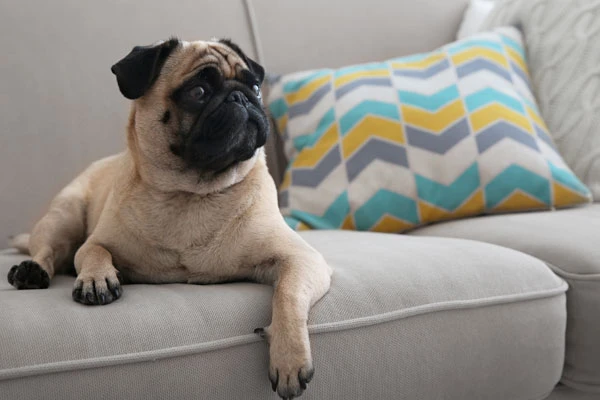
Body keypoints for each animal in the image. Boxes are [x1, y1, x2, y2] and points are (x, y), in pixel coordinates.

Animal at [7, 37, 332, 400]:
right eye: (198, 92)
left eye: (256, 88)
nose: (241, 97)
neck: (191, 194)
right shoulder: (95, 243)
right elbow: (94, 251)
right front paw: (96, 278)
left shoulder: (300, 259)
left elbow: (287, 295)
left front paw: (289, 358)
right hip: (66, 214)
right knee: (49, 251)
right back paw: (31, 271)